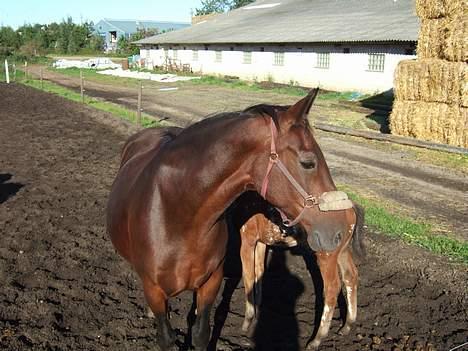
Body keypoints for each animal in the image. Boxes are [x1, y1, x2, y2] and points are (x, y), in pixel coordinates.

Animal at [107, 89, 354, 350]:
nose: (338, 228)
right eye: (308, 163)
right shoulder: (154, 290)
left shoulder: (211, 284)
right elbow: (166, 336)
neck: (178, 216)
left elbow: (201, 333)